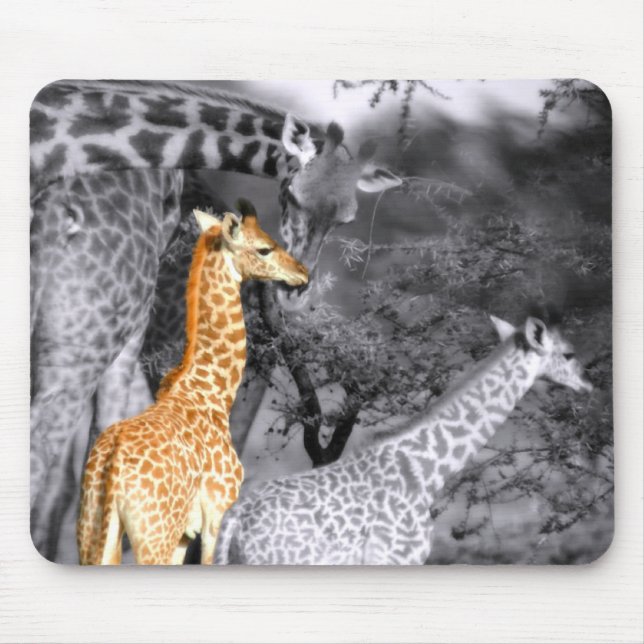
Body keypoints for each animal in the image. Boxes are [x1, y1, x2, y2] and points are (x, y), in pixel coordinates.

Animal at [77, 201, 308, 565]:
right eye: (264, 248)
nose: (302, 272)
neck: (212, 392)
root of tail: (111, 467)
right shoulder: (216, 515)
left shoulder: (185, 536)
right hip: (153, 536)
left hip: (94, 533)